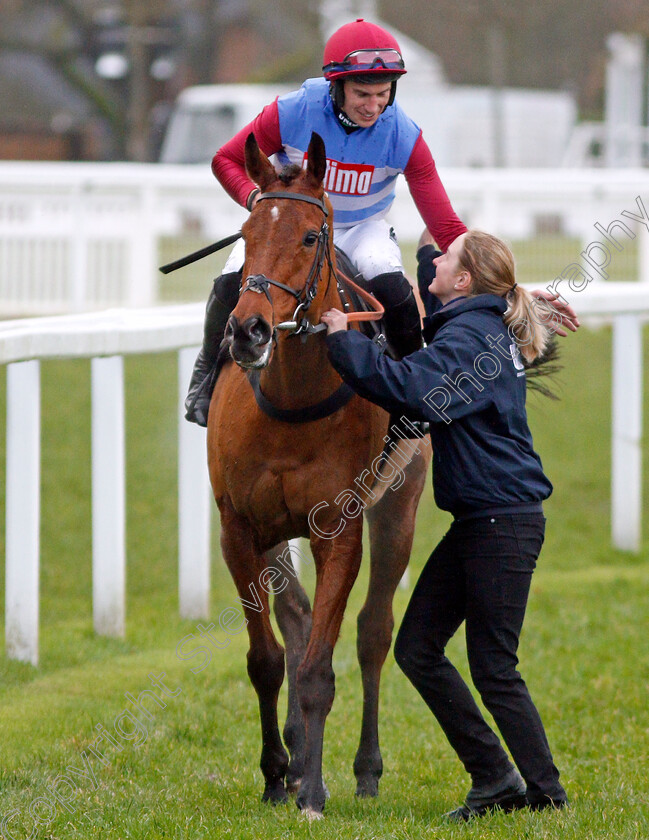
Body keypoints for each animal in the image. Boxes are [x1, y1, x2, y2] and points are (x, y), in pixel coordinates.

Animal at [208, 133, 430, 820]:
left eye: (310, 236)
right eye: (247, 232)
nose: (249, 330)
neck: (290, 400)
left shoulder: (340, 529)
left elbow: (317, 668)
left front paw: (311, 790)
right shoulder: (239, 527)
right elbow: (267, 658)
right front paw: (278, 773)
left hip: (399, 506)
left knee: (372, 633)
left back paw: (363, 769)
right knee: (297, 620)